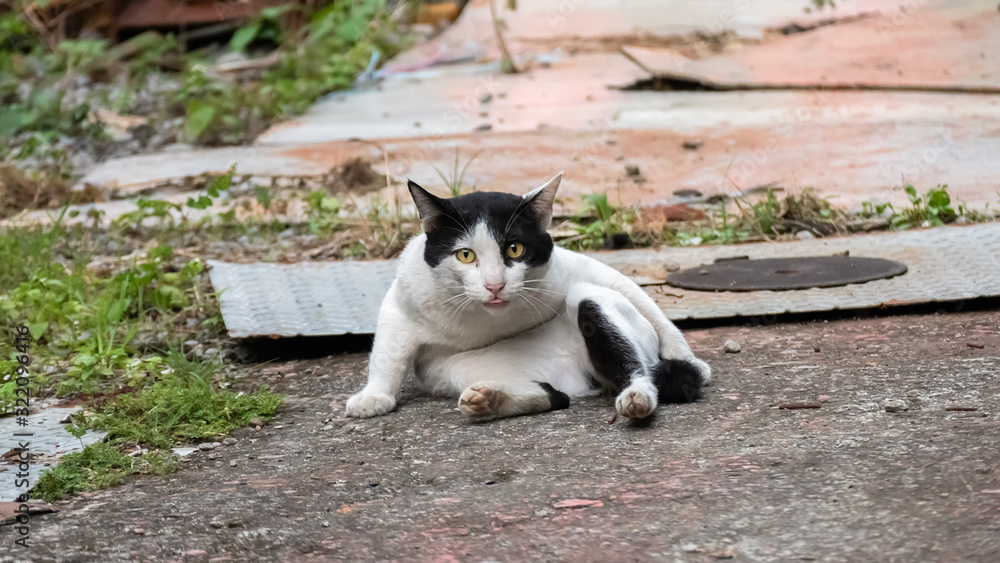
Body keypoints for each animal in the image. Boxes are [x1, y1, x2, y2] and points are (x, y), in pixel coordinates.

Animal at [344, 174, 712, 420]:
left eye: (514, 249)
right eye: (465, 255)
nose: (494, 285)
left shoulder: (570, 268)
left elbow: (639, 297)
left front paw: (687, 355)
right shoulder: (403, 296)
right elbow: (387, 355)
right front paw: (374, 396)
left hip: (590, 301)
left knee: (635, 367)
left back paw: (637, 396)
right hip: (451, 370)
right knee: (558, 396)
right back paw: (490, 399)